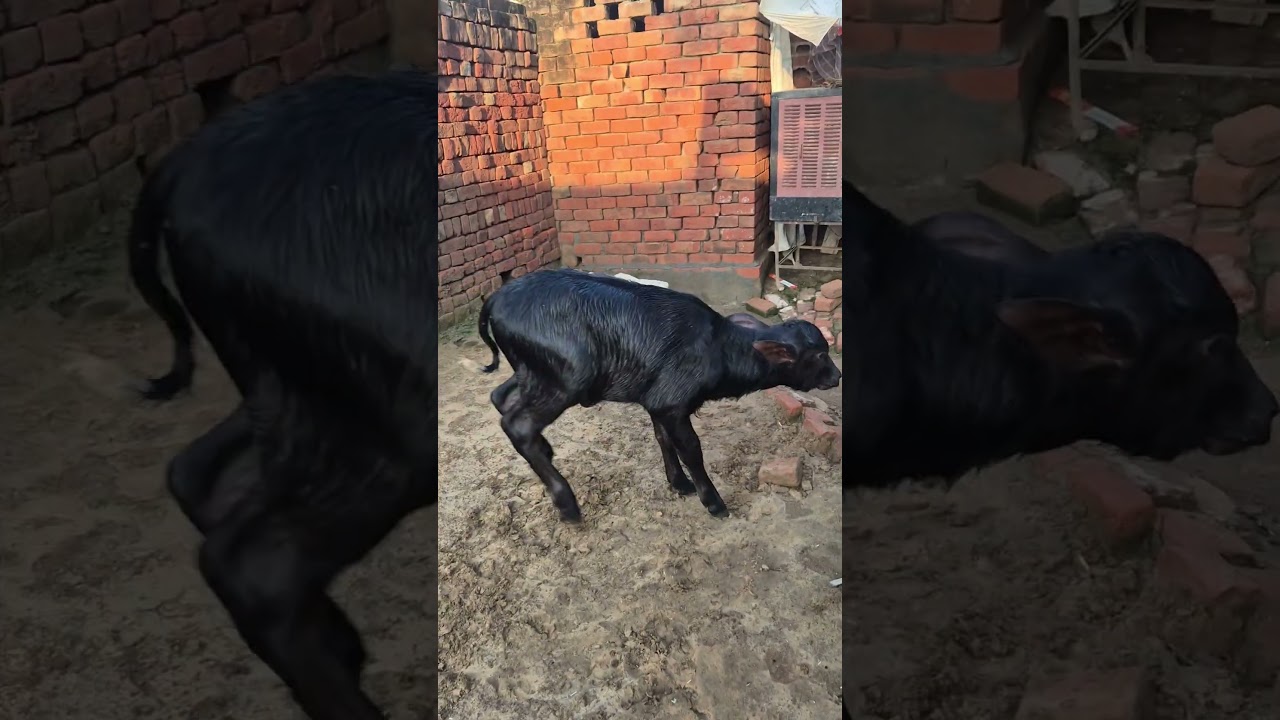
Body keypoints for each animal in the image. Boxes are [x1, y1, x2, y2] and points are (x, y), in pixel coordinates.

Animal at [128, 70, 436, 720]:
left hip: (292, 382)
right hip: (395, 414)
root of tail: (183, 166)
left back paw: (343, 642)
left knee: (191, 474)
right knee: (254, 570)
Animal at [476, 269, 842, 521]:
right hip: (565, 379)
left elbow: (663, 439)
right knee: (518, 424)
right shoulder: (672, 403)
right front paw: (713, 502)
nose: (837, 376)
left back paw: (546, 451)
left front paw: (679, 484)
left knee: (500, 398)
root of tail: (497, 298)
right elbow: (691, 450)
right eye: (819, 355)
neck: (718, 348)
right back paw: (567, 505)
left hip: (530, 372)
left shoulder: (658, 403)